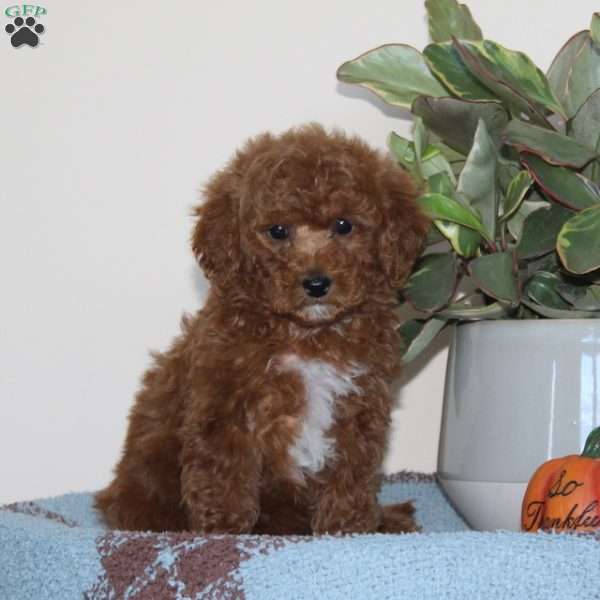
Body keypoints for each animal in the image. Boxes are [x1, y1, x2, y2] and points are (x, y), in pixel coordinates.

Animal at [96, 123, 428, 536]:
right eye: (278, 231)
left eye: (343, 225)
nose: (316, 283)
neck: (308, 335)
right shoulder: (225, 406)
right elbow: (224, 474)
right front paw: (224, 531)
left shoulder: (360, 403)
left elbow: (352, 472)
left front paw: (348, 527)